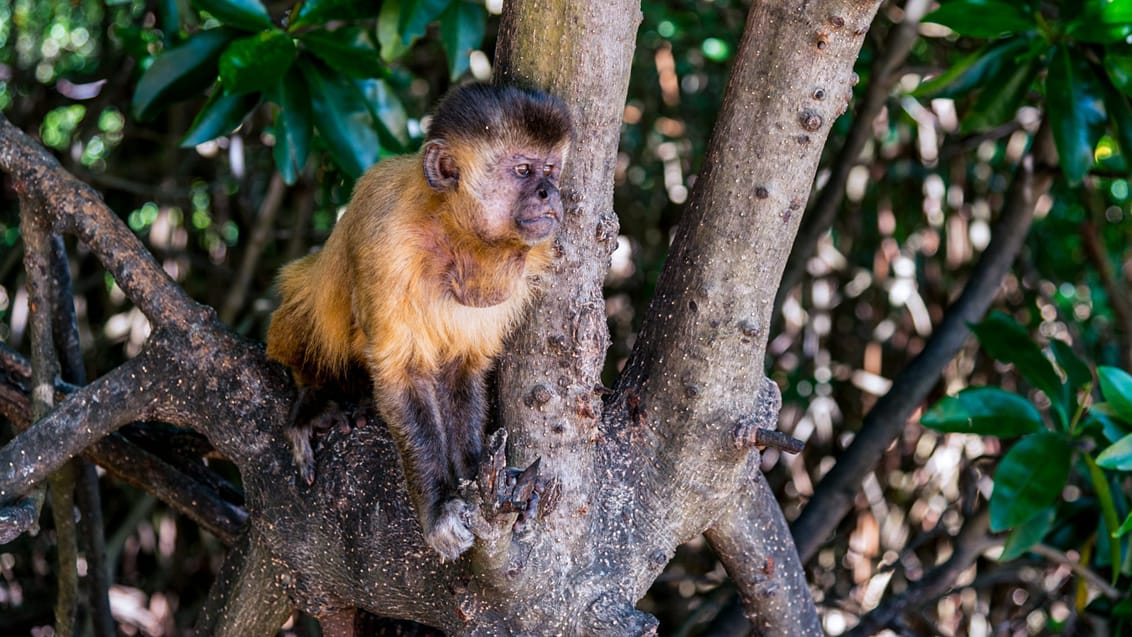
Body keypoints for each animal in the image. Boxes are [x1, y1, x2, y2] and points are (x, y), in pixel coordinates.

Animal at [266, 82, 575, 561]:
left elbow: (463, 368)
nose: (549, 193)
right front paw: (438, 508)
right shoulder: (386, 242)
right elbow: (401, 371)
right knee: (311, 300)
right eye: (523, 171)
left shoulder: (516, 272)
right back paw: (316, 395)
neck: (454, 231)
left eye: (550, 171)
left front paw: (477, 473)